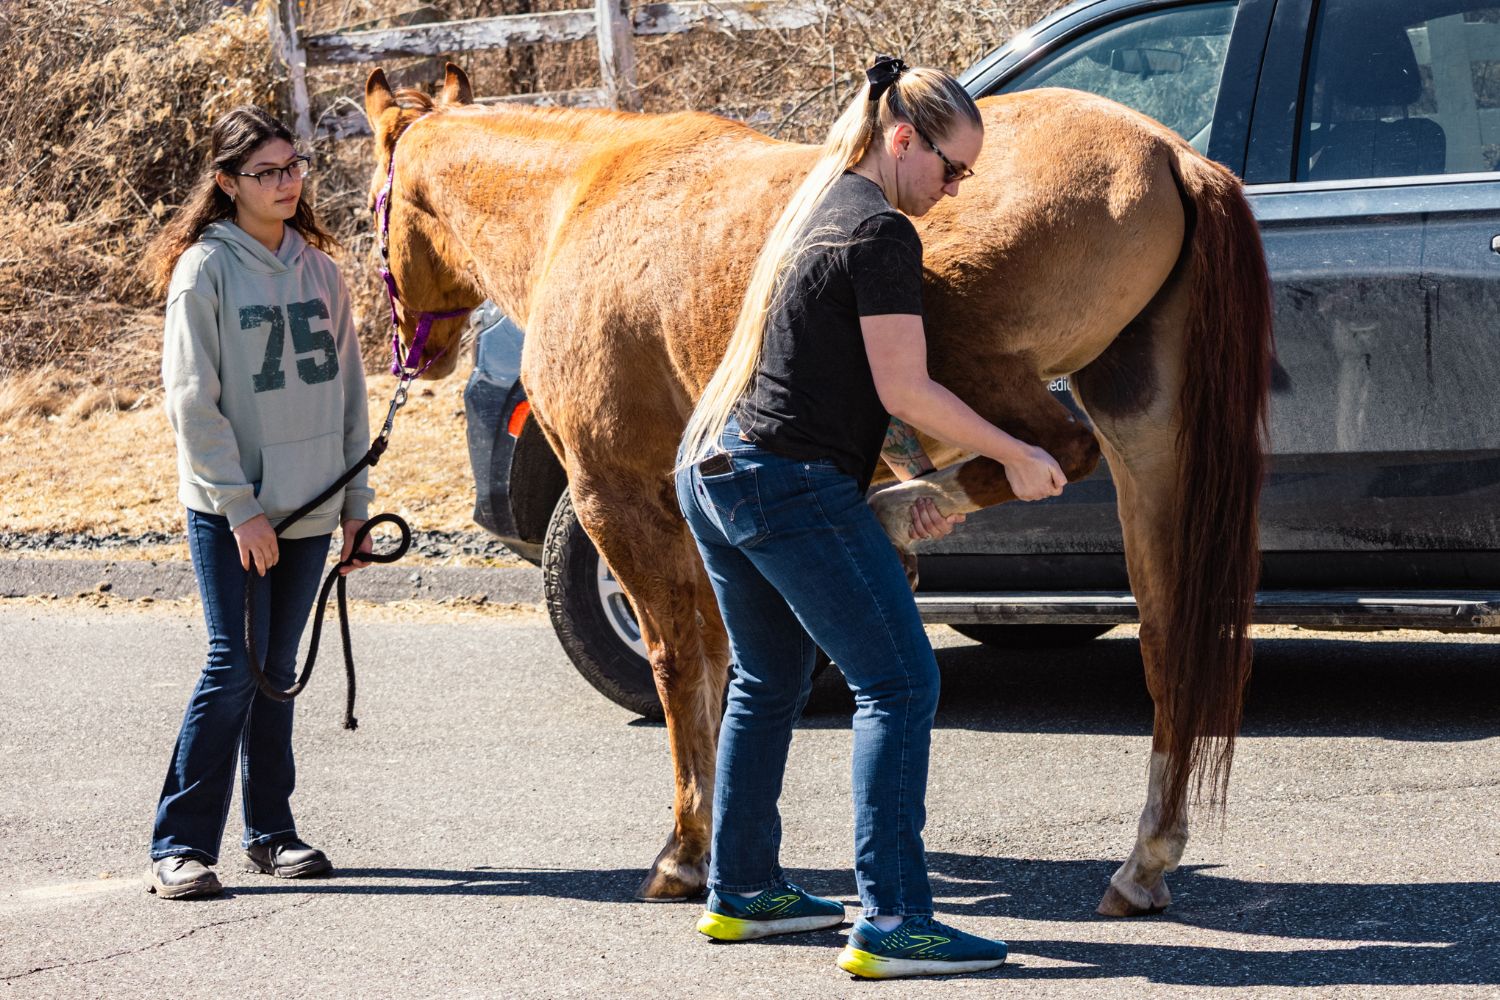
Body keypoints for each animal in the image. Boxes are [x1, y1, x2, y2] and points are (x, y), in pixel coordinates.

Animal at [363, 63, 1272, 918]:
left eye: (377, 204)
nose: (418, 351)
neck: (579, 204)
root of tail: (1171, 152)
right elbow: (723, 661)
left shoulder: (614, 493)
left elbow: (678, 662)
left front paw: (686, 850)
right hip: (1142, 437)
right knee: (1168, 637)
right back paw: (1145, 860)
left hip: (980, 366)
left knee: (1055, 454)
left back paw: (902, 510)